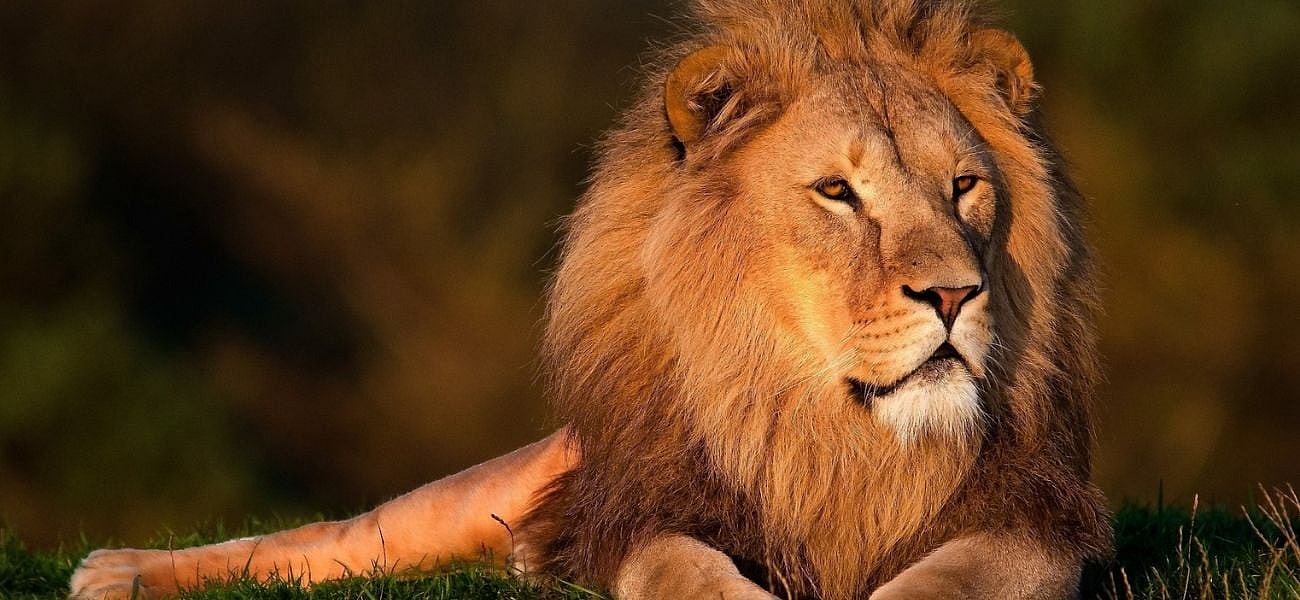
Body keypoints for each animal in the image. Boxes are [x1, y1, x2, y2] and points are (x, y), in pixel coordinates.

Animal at [70, 1, 1112, 598]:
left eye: (964, 187)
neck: (831, 433)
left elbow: (957, 578)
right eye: (836, 192)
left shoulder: (1035, 521)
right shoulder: (648, 508)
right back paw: (113, 570)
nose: (955, 294)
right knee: (330, 540)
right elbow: (679, 566)